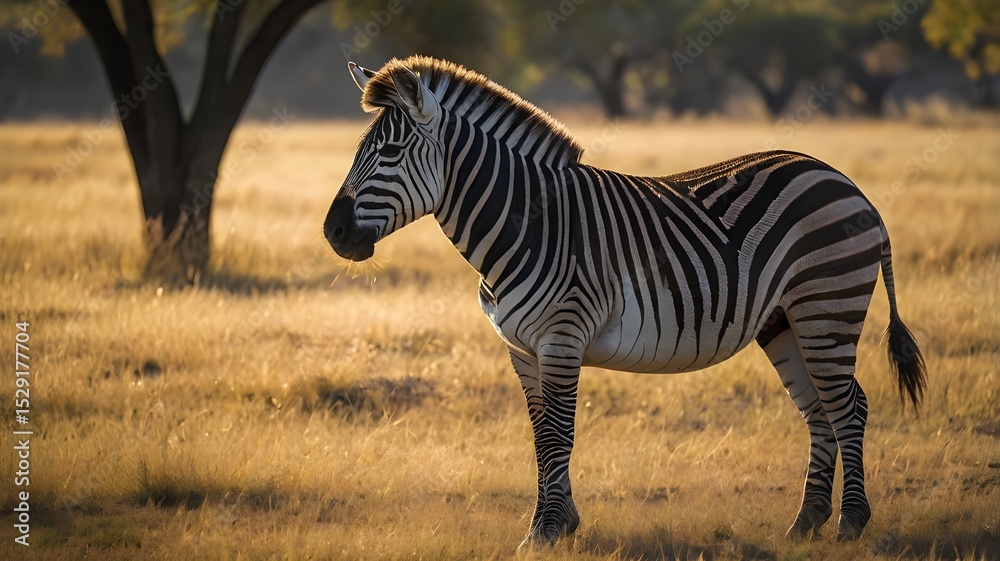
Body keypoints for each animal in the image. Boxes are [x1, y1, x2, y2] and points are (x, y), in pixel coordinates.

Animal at [323, 56, 927, 546]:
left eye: (391, 152)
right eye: (357, 152)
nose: (333, 233)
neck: (527, 223)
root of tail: (844, 180)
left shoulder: (562, 337)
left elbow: (559, 433)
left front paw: (547, 532)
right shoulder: (521, 349)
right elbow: (540, 434)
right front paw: (559, 524)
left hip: (827, 305)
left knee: (849, 407)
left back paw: (850, 524)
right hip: (784, 321)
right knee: (819, 412)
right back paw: (804, 525)